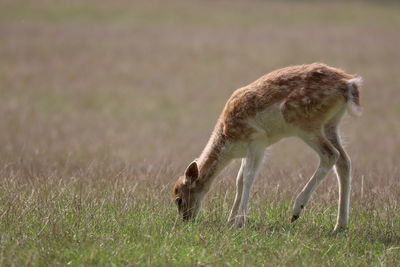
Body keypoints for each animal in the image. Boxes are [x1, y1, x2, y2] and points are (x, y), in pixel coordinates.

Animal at [173, 62, 362, 232]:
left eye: (178, 198)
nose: (186, 219)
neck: (228, 142)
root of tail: (349, 84)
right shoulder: (249, 150)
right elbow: (239, 180)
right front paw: (230, 220)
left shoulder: (257, 140)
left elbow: (248, 177)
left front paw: (239, 222)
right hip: (331, 123)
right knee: (344, 161)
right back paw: (339, 225)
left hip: (305, 123)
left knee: (331, 154)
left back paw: (296, 211)